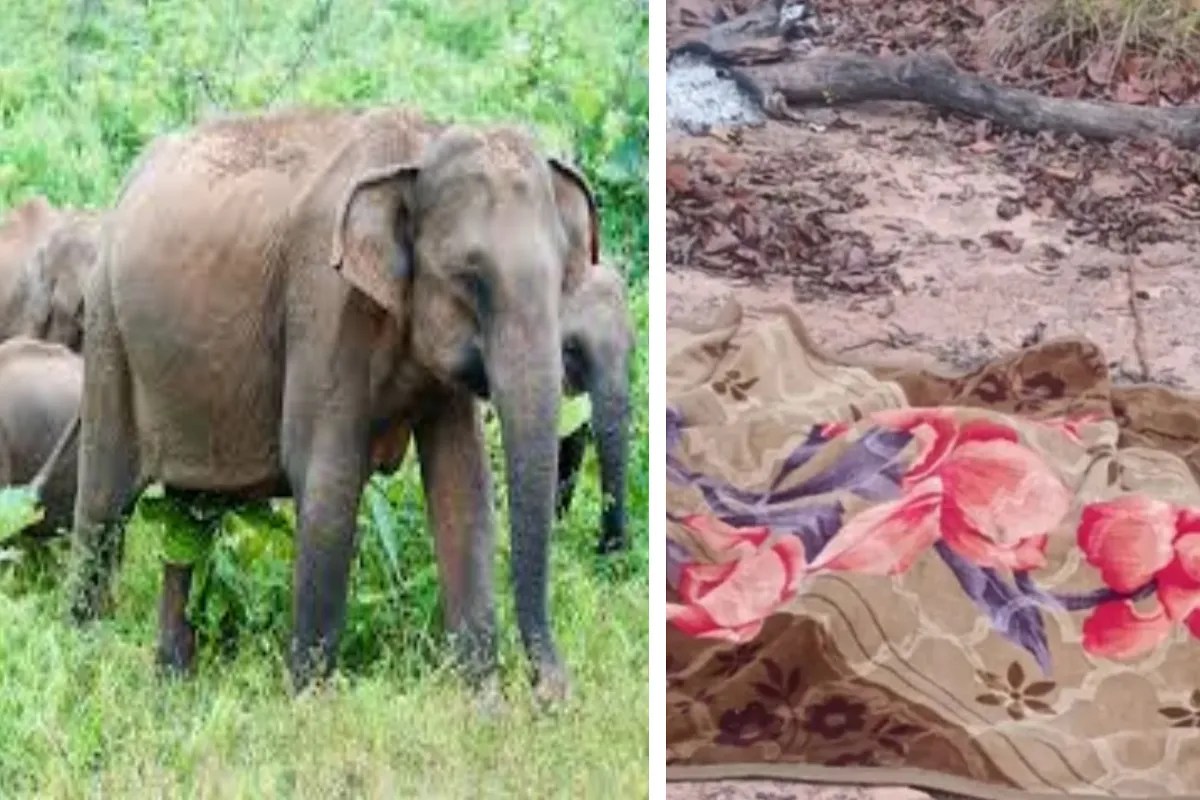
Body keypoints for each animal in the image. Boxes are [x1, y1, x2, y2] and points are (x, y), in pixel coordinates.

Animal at [69, 106, 602, 701]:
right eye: (470, 277)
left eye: (563, 277)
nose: (550, 691)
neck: (418, 150)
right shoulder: (324, 300)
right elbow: (328, 476)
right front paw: (310, 704)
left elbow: (462, 484)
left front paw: (484, 705)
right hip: (106, 330)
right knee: (104, 504)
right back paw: (86, 658)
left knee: (189, 516)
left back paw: (171, 684)